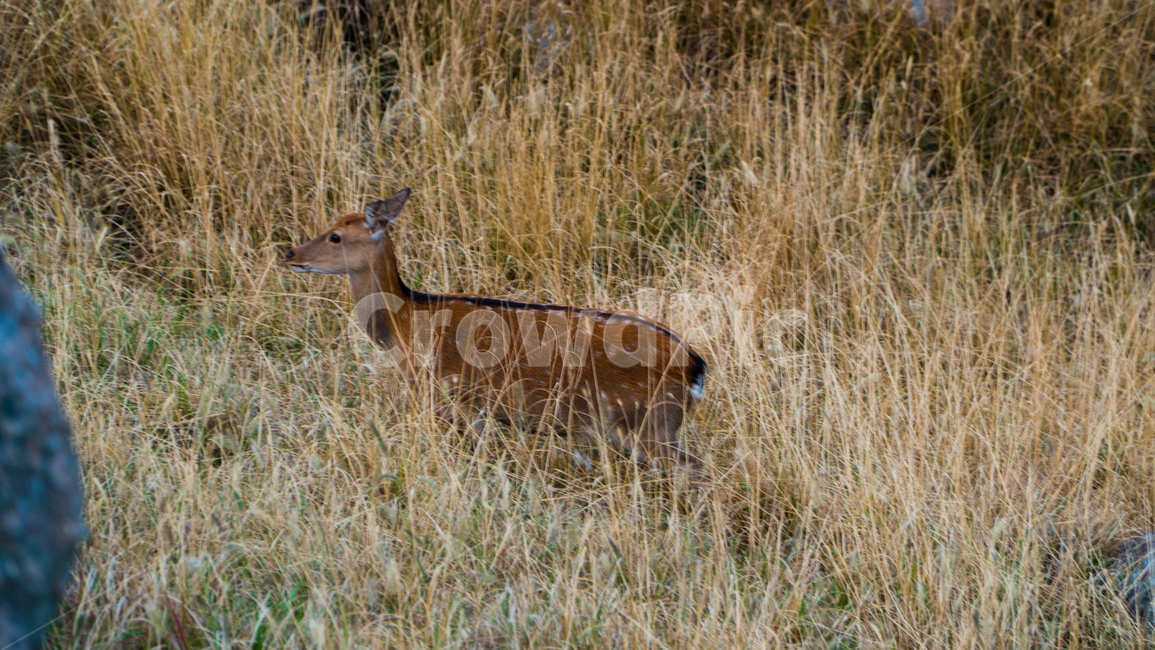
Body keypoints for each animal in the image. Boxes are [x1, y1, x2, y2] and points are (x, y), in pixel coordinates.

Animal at [284, 188, 707, 477]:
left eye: (335, 236)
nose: (291, 254)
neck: (407, 326)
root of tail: (695, 366)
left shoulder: (455, 399)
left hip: (650, 423)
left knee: (696, 469)